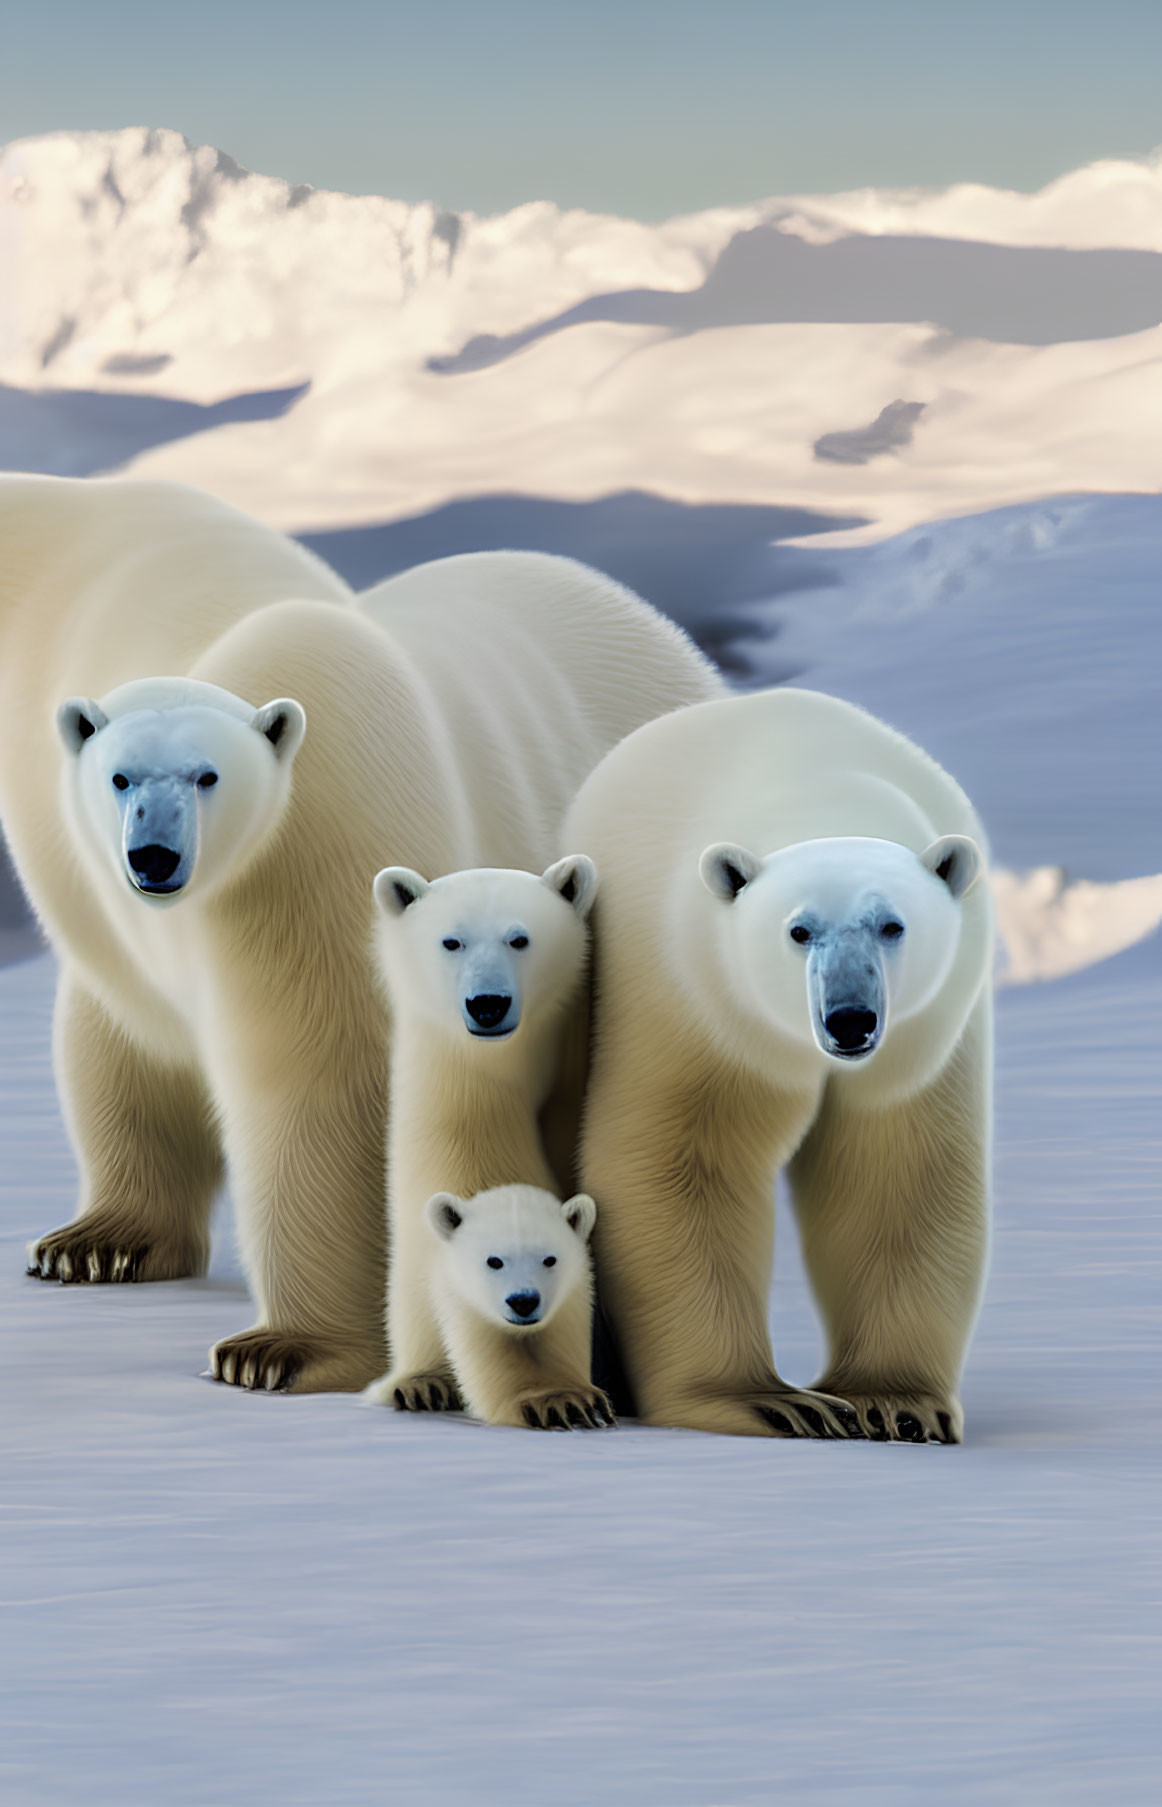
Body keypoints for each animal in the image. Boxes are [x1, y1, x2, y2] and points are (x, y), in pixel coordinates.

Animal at [363, 852, 599, 1416]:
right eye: (452, 941)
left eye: (520, 938)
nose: (487, 1003)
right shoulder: (456, 1099)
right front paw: (556, 1397)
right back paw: (418, 1381)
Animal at [567, 683, 997, 1445]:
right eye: (798, 930)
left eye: (892, 924)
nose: (850, 1019)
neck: (819, 789)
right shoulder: (691, 991)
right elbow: (683, 1160)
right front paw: (773, 1401)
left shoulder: (926, 1031)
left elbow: (896, 1169)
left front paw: (894, 1402)